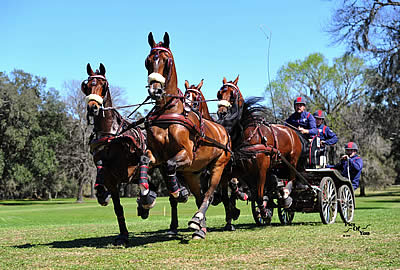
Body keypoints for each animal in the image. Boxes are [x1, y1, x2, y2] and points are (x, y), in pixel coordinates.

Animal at [81, 62, 147, 245]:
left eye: (103, 85)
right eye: (87, 86)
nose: (93, 108)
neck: (111, 135)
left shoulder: (131, 170)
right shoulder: (111, 178)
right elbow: (117, 207)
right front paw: (123, 235)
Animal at [143, 32, 231, 239]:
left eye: (167, 60)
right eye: (147, 61)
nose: (155, 90)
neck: (168, 111)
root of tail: (223, 130)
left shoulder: (186, 154)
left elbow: (170, 165)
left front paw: (179, 193)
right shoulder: (156, 155)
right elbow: (145, 160)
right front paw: (146, 199)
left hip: (218, 166)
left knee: (209, 194)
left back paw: (198, 219)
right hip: (192, 172)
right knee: (199, 196)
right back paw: (201, 227)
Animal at [216, 75, 304, 226]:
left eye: (232, 95)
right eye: (219, 94)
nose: (222, 112)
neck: (248, 134)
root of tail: (292, 131)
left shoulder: (261, 169)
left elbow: (258, 195)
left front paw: (264, 212)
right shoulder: (242, 170)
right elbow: (234, 187)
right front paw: (236, 209)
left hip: (292, 162)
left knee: (291, 180)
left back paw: (286, 197)